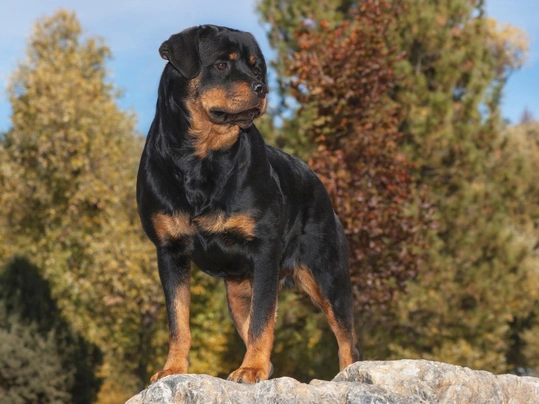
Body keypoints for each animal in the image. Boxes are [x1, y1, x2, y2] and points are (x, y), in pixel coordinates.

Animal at [137, 23, 360, 384]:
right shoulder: (170, 251)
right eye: (221, 65)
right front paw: (173, 368)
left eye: (256, 68)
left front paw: (251, 369)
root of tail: (317, 181)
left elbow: (261, 323)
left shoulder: (264, 251)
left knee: (347, 340)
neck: (200, 158)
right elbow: (178, 321)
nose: (262, 87)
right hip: (239, 290)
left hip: (327, 274)